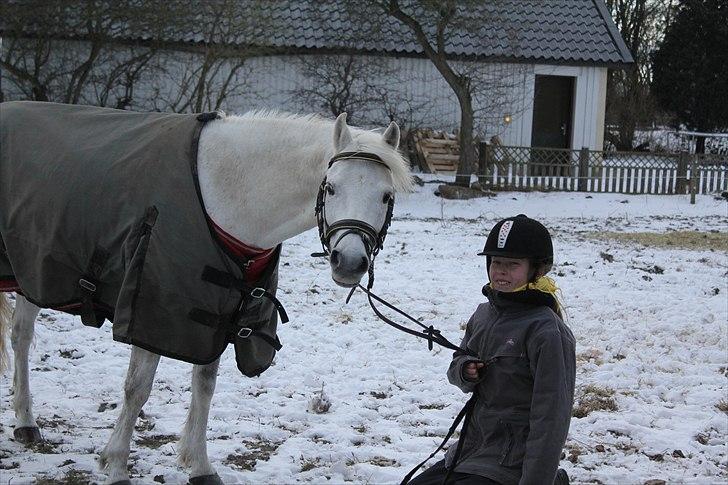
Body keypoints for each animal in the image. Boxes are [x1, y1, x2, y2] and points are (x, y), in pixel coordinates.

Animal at [0, 109, 410, 484]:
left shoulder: (216, 314)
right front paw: (116, 466)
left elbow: (205, 385)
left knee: (20, 337)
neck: (226, 196)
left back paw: (25, 422)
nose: (350, 262)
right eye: (331, 188)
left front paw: (199, 465)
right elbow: (137, 390)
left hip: (32, 275)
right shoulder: (150, 311)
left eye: (386, 196)